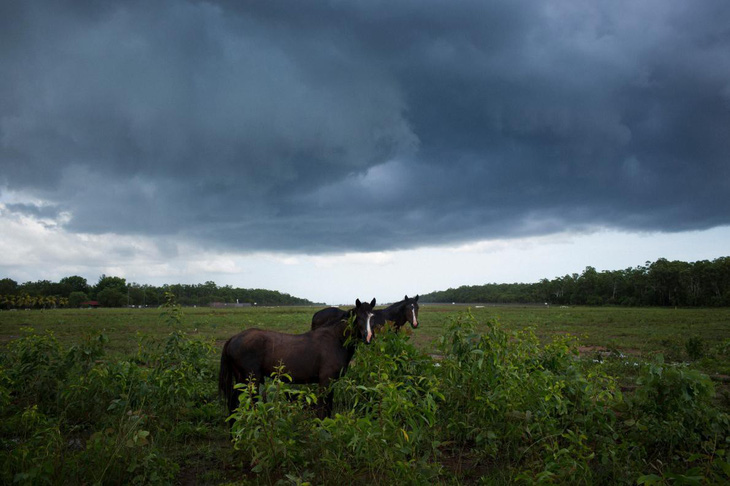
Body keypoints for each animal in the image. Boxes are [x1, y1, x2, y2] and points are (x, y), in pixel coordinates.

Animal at [219, 296, 376, 418]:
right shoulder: (325, 381)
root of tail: (233, 338)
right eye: (358, 317)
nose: (368, 337)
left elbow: (328, 408)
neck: (335, 340)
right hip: (251, 380)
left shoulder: (332, 382)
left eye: (372, 317)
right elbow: (322, 409)